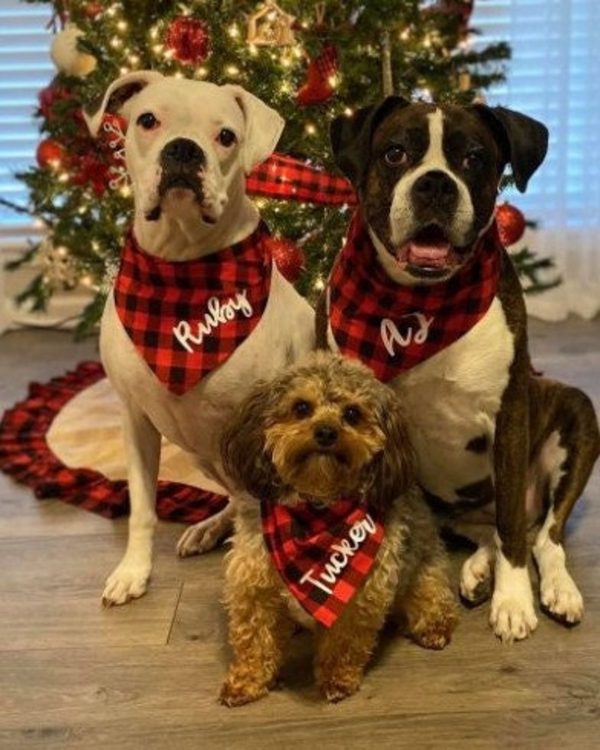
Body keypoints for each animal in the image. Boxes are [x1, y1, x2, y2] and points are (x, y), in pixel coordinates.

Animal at [86, 73, 316, 608]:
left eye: (226, 136)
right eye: (148, 120)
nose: (183, 150)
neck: (182, 266)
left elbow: (260, 515)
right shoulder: (135, 419)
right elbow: (142, 507)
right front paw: (133, 571)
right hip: (199, 454)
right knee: (234, 500)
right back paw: (209, 528)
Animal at [218, 352, 458, 704]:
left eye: (352, 414)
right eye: (301, 407)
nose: (326, 432)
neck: (317, 508)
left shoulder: (363, 592)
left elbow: (344, 643)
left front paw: (336, 678)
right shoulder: (253, 583)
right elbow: (254, 638)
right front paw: (247, 680)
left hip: (425, 575)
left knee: (435, 600)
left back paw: (435, 627)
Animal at [316, 97, 596, 644]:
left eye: (473, 159)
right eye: (395, 153)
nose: (436, 184)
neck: (417, 306)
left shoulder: (509, 418)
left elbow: (513, 530)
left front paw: (513, 601)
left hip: (576, 409)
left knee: (541, 536)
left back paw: (557, 589)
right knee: (485, 530)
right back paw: (477, 569)